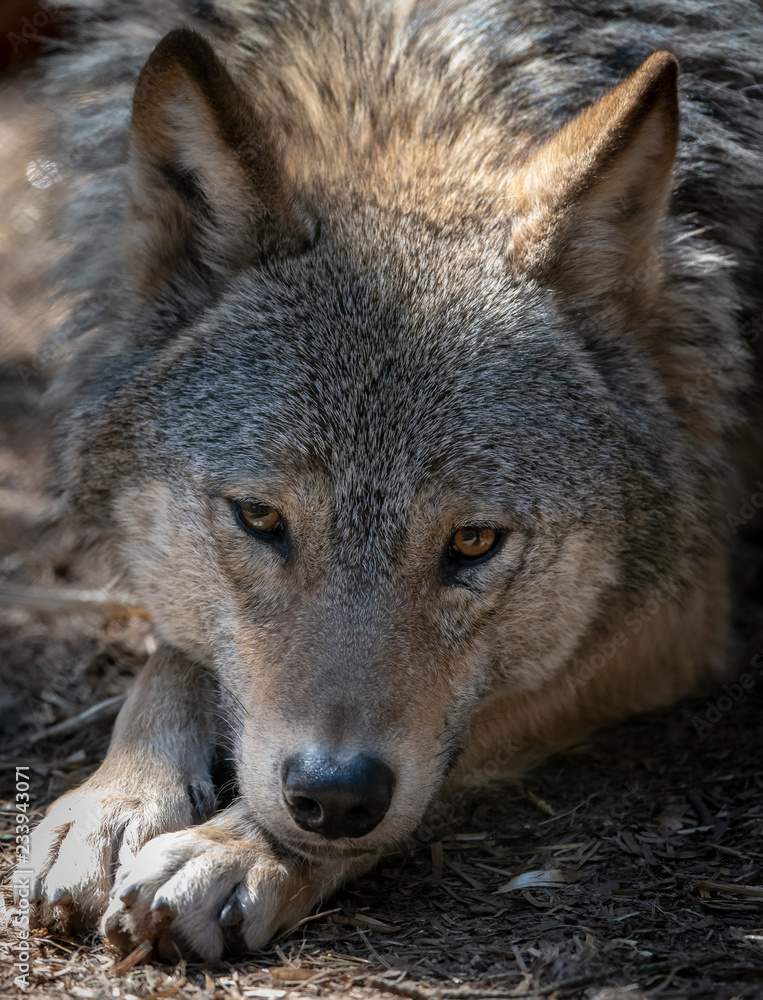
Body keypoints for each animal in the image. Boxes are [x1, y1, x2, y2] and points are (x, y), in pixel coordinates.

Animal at [13, 0, 763, 962]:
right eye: (260, 518)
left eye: (474, 541)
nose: (335, 796)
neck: (407, 87)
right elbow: (174, 659)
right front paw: (111, 807)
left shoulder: (683, 609)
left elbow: (464, 730)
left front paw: (234, 852)